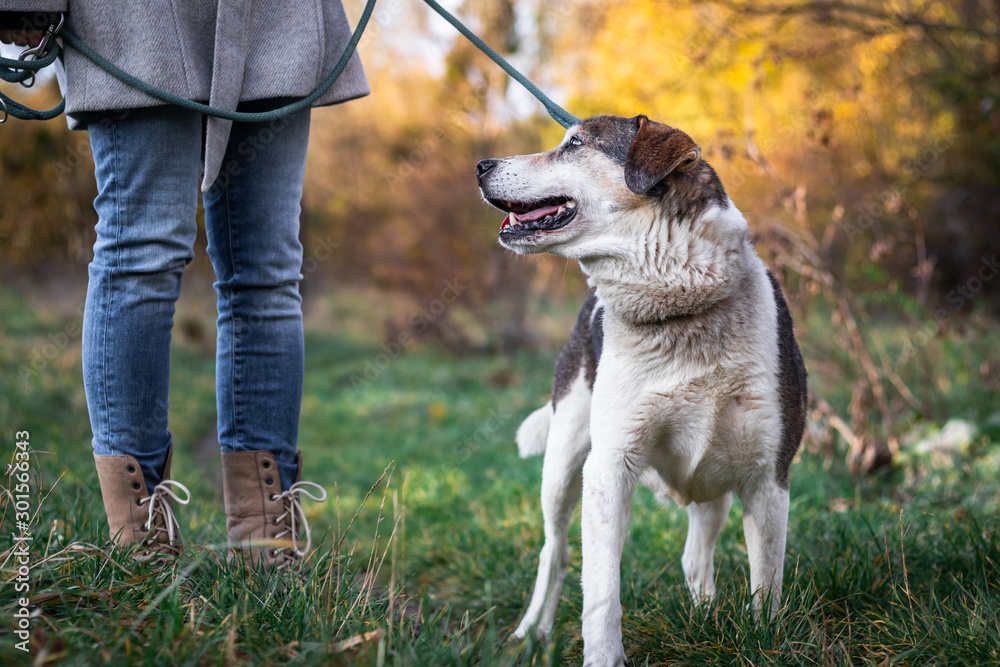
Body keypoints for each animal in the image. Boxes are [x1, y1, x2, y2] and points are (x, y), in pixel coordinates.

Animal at [472, 116, 808, 667]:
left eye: (575, 144)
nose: (480, 165)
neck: (680, 309)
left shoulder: (767, 476)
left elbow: (767, 582)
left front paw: (764, 640)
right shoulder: (609, 468)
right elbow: (601, 592)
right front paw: (603, 655)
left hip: (712, 483)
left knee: (695, 555)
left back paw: (704, 616)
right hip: (564, 460)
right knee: (554, 551)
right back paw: (532, 632)